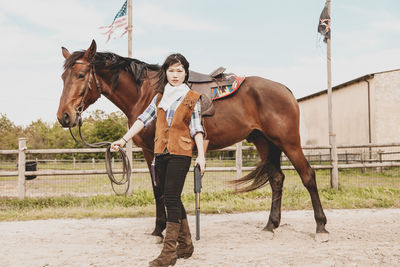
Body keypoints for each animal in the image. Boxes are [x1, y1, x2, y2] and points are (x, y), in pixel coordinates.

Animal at [58, 40, 328, 239]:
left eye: (81, 74)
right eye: (63, 78)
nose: (64, 116)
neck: (146, 93)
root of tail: (285, 89)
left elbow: (163, 189)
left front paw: (165, 230)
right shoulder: (149, 151)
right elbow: (158, 190)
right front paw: (159, 229)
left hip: (288, 142)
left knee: (308, 176)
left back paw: (321, 227)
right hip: (263, 142)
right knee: (277, 179)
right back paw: (271, 225)